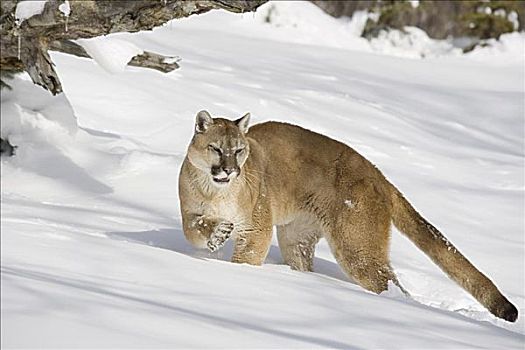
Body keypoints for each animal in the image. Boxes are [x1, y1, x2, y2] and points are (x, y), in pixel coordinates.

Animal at [178, 110, 516, 322]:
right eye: (216, 149)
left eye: (239, 150)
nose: (230, 170)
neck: (215, 191)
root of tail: (378, 173)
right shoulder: (189, 211)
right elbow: (194, 230)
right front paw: (217, 233)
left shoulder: (256, 227)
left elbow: (247, 257)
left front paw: (238, 275)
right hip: (296, 236)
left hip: (357, 247)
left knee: (389, 283)